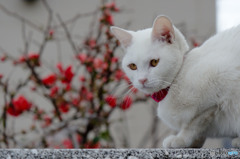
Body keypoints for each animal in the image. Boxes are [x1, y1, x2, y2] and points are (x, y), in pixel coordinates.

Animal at [111, 15, 240, 148]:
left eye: (154, 62)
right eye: (132, 66)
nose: (142, 80)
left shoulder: (223, 80)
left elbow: (194, 124)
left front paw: (181, 139)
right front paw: (193, 143)